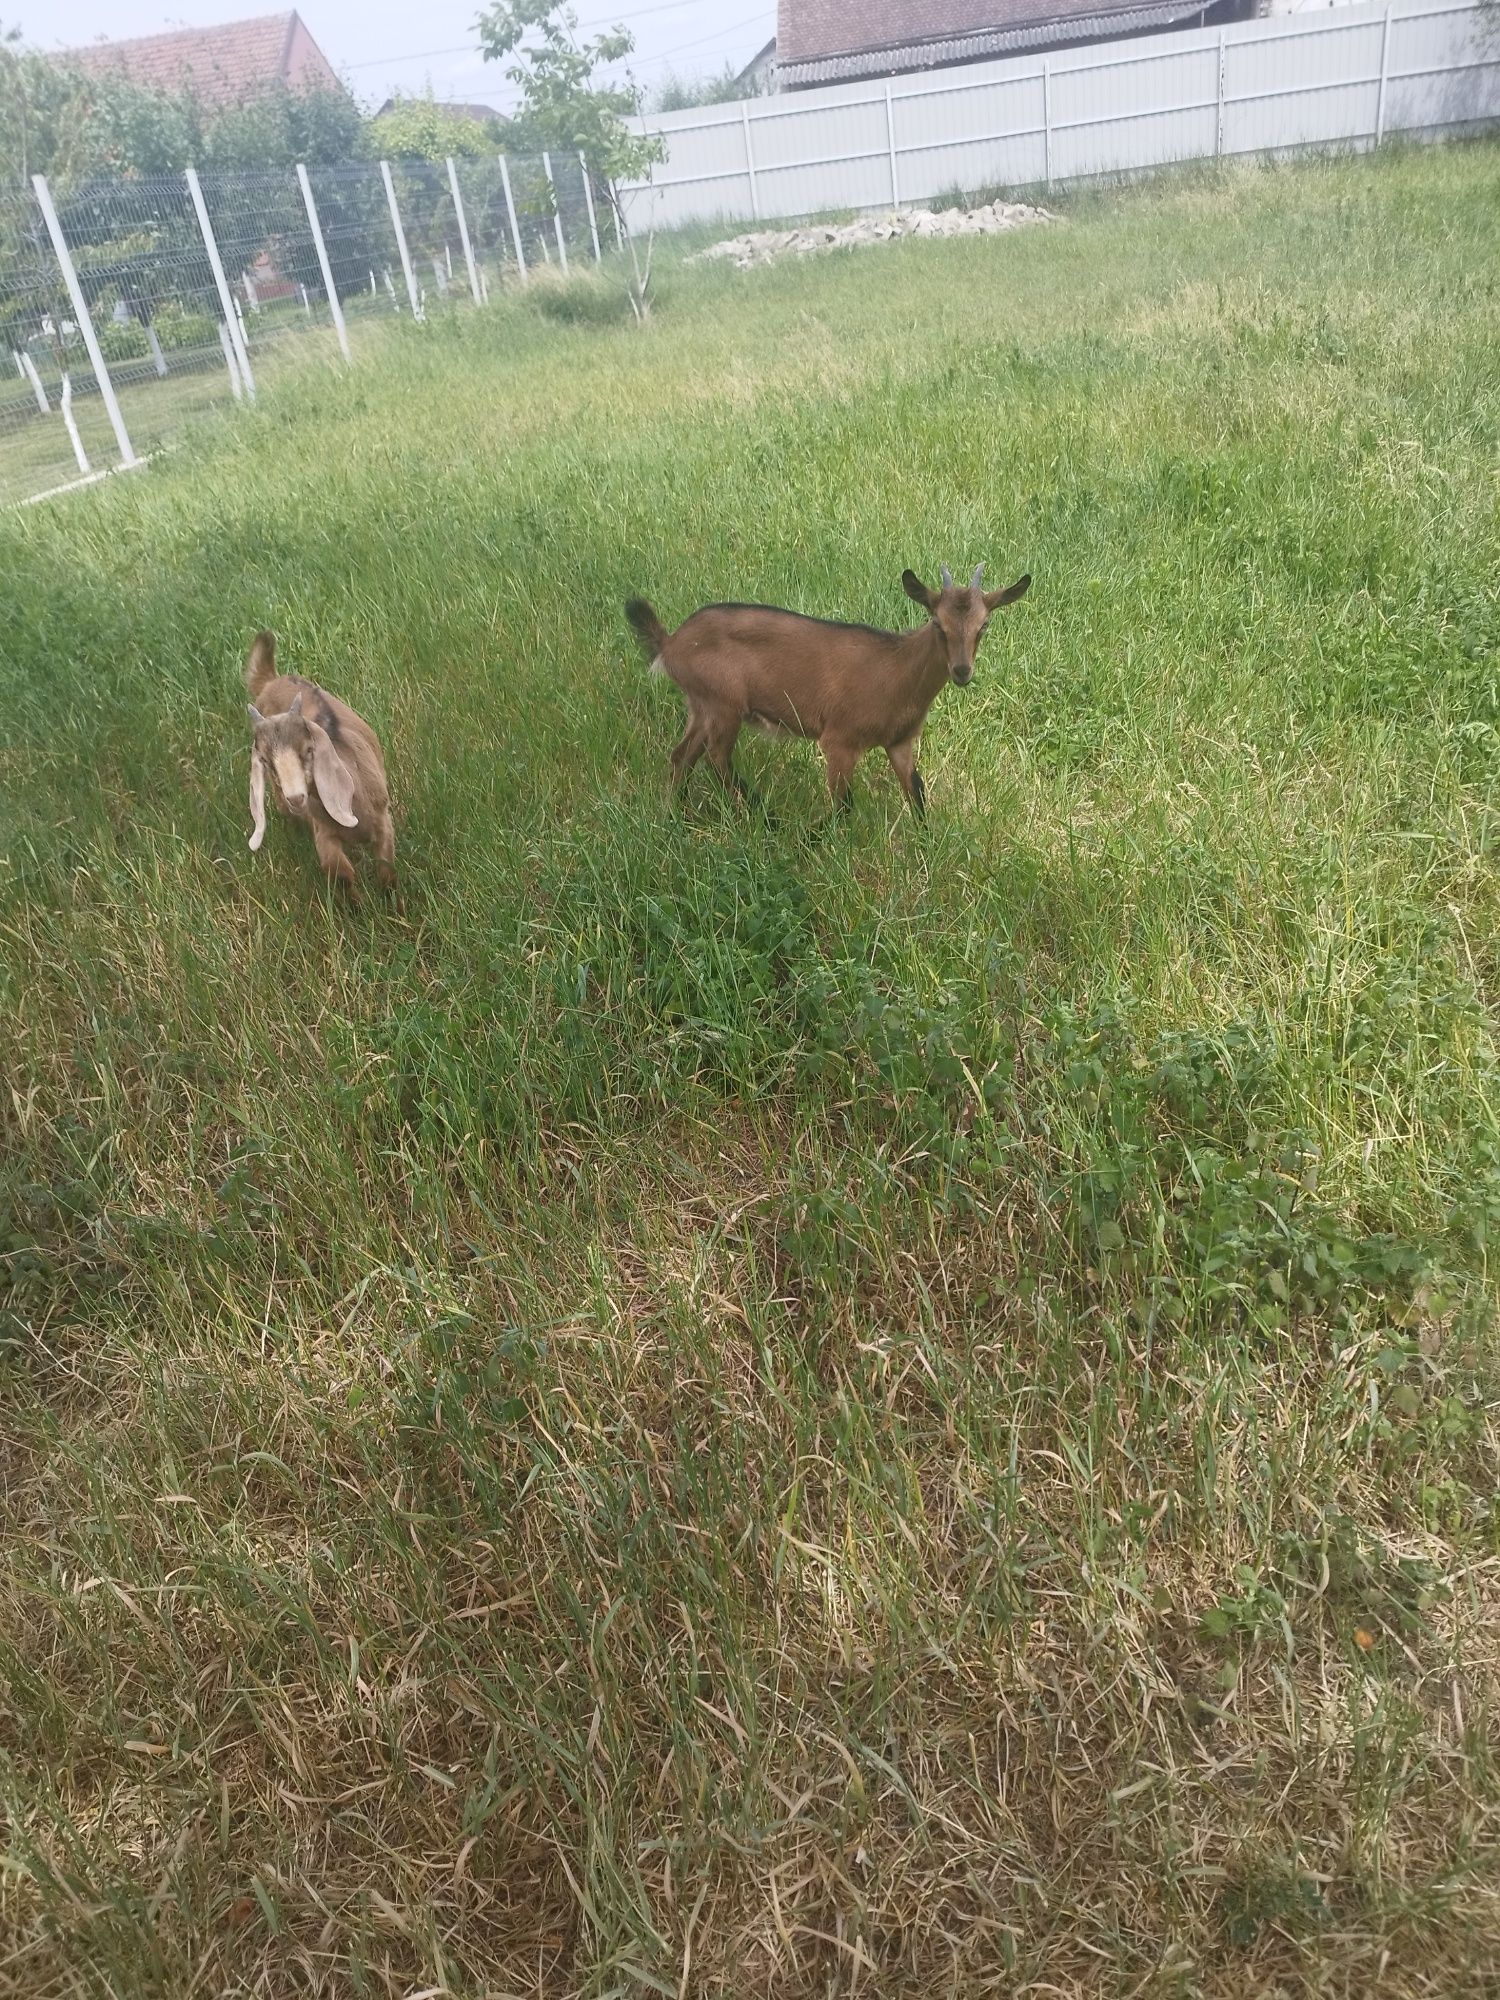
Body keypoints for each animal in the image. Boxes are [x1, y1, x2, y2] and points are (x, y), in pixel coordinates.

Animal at [242, 632, 394, 892]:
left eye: (308, 749)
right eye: (265, 760)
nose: (295, 798)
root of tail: (271, 681)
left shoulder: (384, 821)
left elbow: (387, 875)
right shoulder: (323, 832)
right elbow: (340, 874)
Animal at [624, 560, 1032, 816]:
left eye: (984, 625)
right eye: (937, 623)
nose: (961, 671)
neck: (898, 670)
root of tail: (671, 643)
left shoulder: (900, 743)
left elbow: (917, 796)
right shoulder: (839, 741)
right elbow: (844, 807)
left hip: (701, 705)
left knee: (682, 756)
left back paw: (673, 813)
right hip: (723, 703)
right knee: (717, 759)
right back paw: (767, 816)